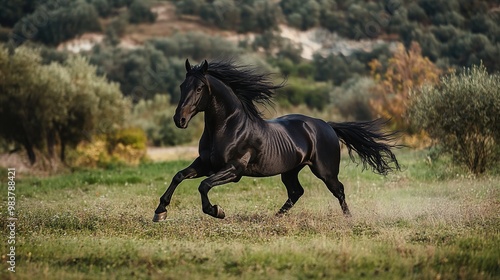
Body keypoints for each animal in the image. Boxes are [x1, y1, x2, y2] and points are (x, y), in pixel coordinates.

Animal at [150, 60, 400, 222]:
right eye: (182, 86)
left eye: (200, 88)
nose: (179, 119)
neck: (227, 127)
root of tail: (326, 125)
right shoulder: (205, 164)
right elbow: (179, 176)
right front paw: (160, 211)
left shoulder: (234, 170)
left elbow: (204, 185)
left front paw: (217, 211)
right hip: (290, 171)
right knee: (296, 192)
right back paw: (275, 217)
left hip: (325, 171)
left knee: (338, 190)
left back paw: (348, 219)